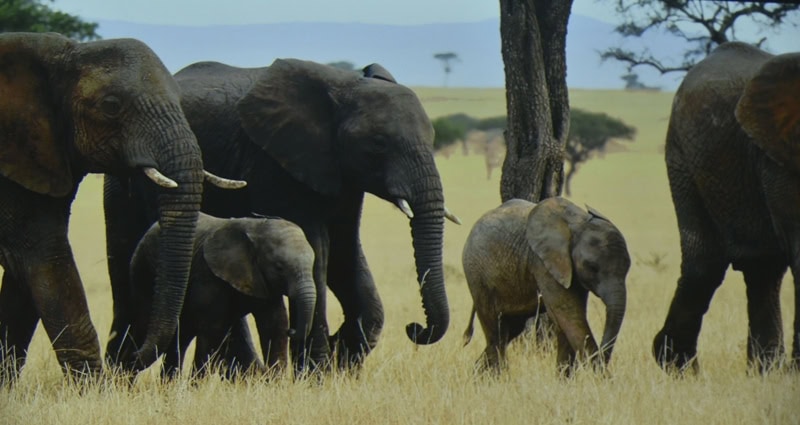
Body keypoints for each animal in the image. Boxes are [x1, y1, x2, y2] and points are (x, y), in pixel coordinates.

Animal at [0, 33, 245, 382]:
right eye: (111, 106)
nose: (130, 357)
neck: (61, 54)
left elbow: (25, 275)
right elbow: (46, 258)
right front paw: (92, 390)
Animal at [128, 213, 316, 379]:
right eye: (279, 267)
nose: (292, 330)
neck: (257, 228)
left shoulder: (263, 281)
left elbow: (275, 325)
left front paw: (276, 382)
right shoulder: (209, 276)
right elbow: (213, 328)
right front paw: (198, 386)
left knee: (181, 337)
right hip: (143, 268)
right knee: (144, 325)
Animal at [461, 197, 630, 374]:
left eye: (628, 268)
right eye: (592, 267)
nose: (604, 357)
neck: (578, 222)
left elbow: (570, 318)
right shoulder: (543, 263)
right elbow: (568, 312)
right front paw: (602, 378)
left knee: (510, 330)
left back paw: (476, 376)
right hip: (477, 276)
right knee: (496, 334)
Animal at [654, 41, 800, 373]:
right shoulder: (778, 160)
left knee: (763, 269)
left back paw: (763, 372)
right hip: (683, 157)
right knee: (704, 264)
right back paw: (676, 366)